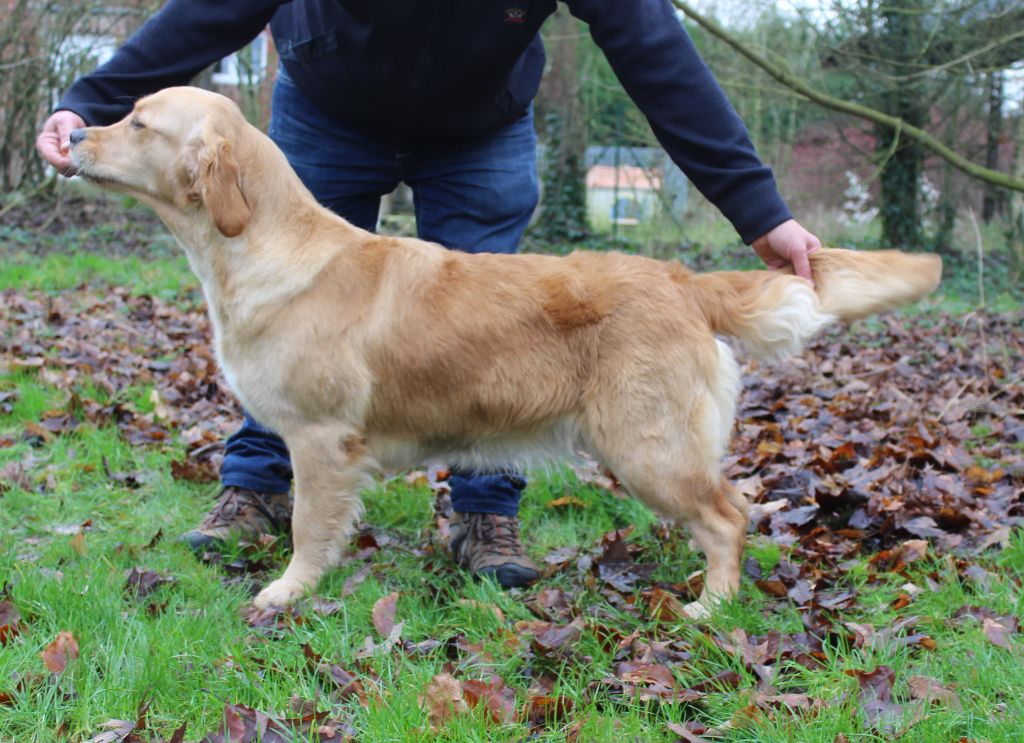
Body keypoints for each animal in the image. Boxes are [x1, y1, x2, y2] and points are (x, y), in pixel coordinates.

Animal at [68, 90, 937, 618]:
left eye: (139, 123)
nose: (71, 130)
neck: (259, 245)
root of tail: (683, 279)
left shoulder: (321, 438)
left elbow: (310, 525)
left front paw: (287, 591)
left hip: (646, 444)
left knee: (729, 515)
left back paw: (710, 605)